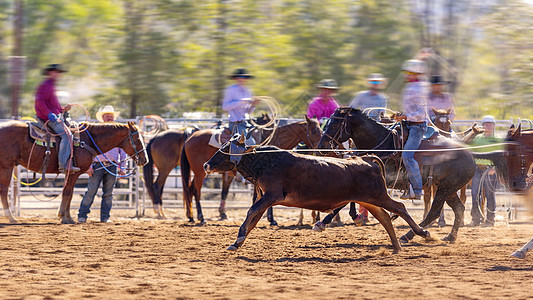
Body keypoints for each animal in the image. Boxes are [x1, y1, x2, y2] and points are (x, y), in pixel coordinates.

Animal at [0, 120, 148, 224]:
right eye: (137, 139)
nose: (145, 160)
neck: (86, 140)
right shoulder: (73, 173)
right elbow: (68, 193)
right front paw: (65, 218)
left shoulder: (68, 174)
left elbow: (68, 193)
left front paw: (66, 217)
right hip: (6, 166)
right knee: (4, 190)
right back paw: (11, 217)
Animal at [180, 116, 320, 224]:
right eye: (314, 131)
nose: (319, 148)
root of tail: (190, 137)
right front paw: (271, 219)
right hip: (199, 172)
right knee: (196, 190)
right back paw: (201, 217)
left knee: (191, 189)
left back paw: (192, 216)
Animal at [202, 136, 430, 253]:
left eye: (224, 150)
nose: (206, 165)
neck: (266, 162)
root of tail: (364, 159)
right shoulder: (264, 198)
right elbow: (254, 217)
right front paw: (237, 242)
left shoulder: (271, 196)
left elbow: (251, 213)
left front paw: (239, 238)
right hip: (369, 200)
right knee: (385, 218)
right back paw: (396, 247)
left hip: (378, 196)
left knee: (399, 208)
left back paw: (422, 233)